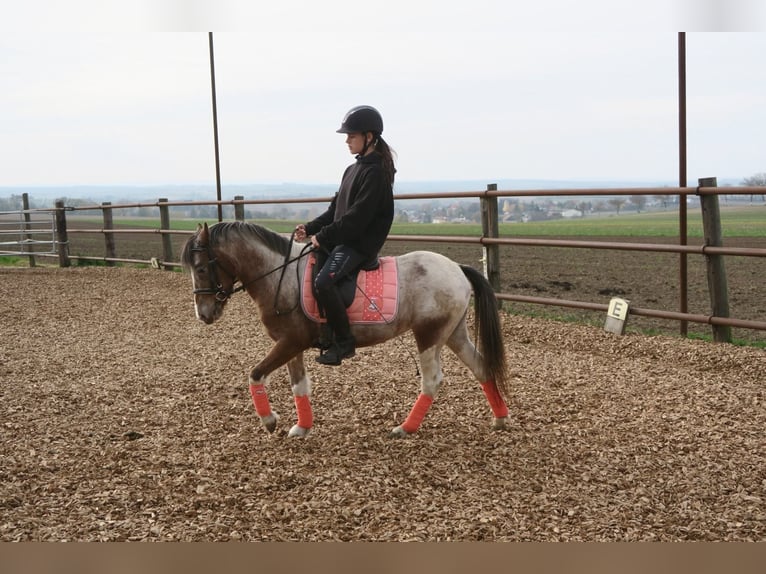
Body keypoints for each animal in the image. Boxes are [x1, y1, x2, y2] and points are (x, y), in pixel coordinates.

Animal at [182, 223, 512, 438]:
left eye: (201, 268)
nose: (203, 314)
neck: (279, 275)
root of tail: (457, 269)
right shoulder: (291, 346)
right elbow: (299, 386)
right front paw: (301, 427)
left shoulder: (291, 342)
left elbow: (255, 374)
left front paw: (269, 420)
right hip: (454, 333)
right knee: (481, 367)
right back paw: (500, 419)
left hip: (429, 335)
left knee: (431, 381)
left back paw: (405, 428)